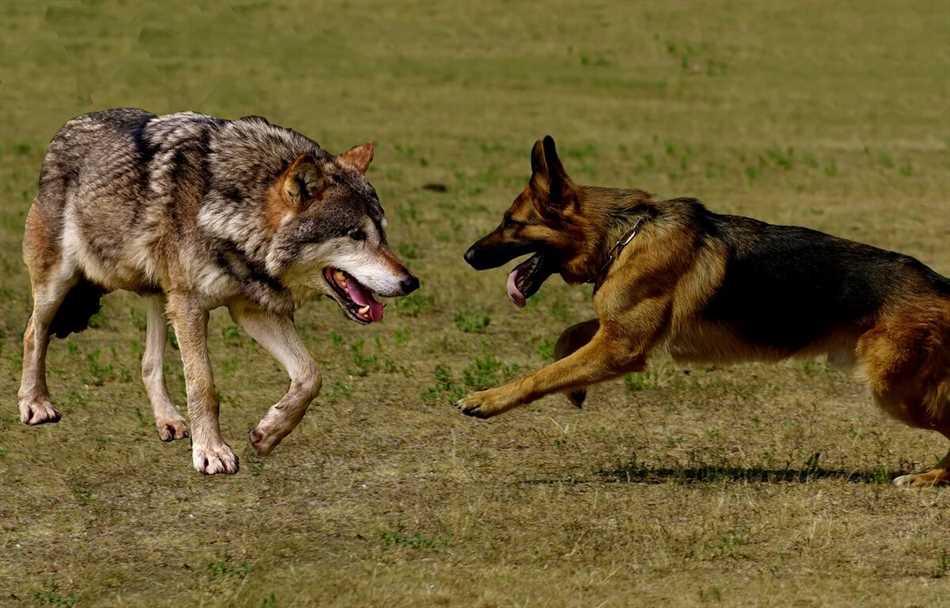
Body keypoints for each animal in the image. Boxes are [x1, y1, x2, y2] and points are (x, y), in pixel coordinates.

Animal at [17, 108, 420, 476]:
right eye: (355, 235)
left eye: (382, 233)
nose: (411, 282)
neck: (233, 212)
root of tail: (68, 126)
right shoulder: (192, 306)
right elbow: (203, 385)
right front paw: (211, 452)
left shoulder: (252, 310)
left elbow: (310, 375)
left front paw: (268, 433)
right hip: (59, 285)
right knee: (33, 333)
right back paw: (34, 404)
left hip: (161, 298)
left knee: (148, 364)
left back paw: (169, 421)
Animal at [462, 135, 950, 486]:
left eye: (511, 223)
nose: (467, 256)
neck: (622, 233)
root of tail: (941, 285)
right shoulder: (619, 333)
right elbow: (567, 343)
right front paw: (575, 389)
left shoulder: (621, 348)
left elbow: (540, 375)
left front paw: (487, 399)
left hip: (893, 390)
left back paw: (927, 477)